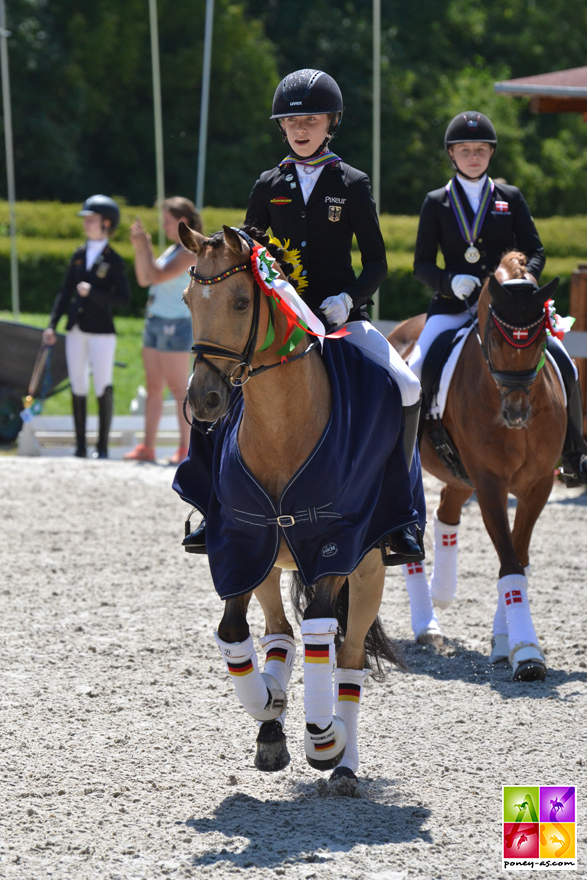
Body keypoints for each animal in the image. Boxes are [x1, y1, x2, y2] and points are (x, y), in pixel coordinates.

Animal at [172, 223, 424, 780]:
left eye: (242, 301)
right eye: (187, 300)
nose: (204, 401)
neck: (282, 426)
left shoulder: (335, 542)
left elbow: (321, 634)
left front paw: (324, 740)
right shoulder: (241, 541)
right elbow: (233, 631)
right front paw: (268, 702)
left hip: (369, 569)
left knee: (348, 655)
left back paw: (344, 763)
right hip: (272, 561)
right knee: (280, 632)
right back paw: (272, 727)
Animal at [388, 251, 568, 684]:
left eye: (541, 338)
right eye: (496, 338)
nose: (516, 413)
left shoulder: (537, 485)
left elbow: (518, 556)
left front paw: (506, 643)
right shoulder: (490, 483)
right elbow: (510, 561)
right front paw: (527, 654)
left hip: (460, 476)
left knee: (446, 511)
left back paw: (442, 592)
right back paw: (428, 625)